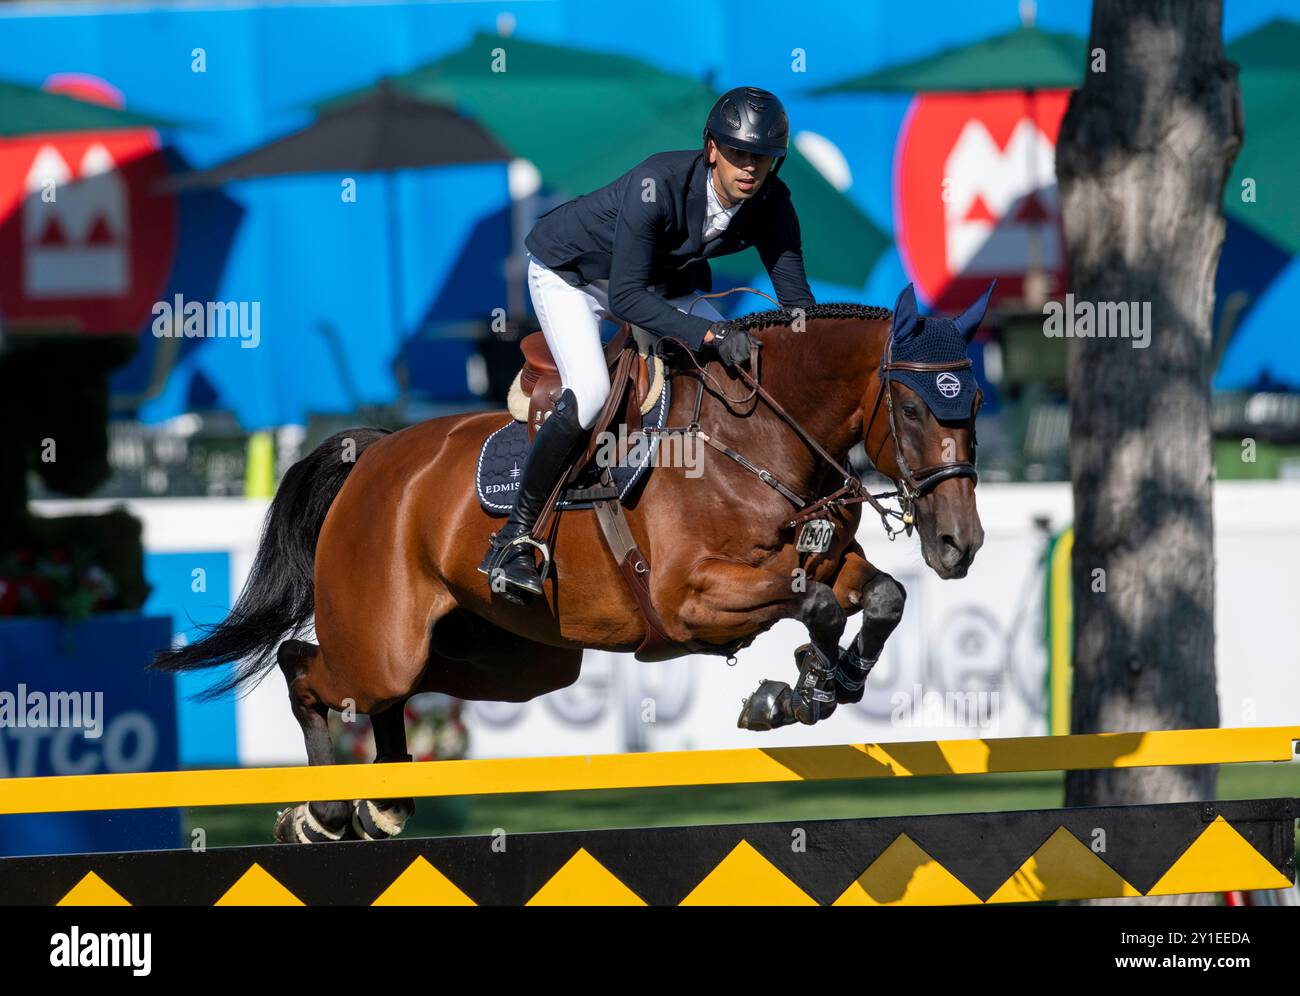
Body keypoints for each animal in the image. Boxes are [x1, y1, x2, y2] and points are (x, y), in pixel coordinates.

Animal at [149, 283, 982, 852]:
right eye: (913, 409)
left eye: (972, 405)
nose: (959, 545)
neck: (759, 440)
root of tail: (374, 453)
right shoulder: (692, 599)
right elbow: (818, 608)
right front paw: (796, 689)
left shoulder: (826, 561)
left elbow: (880, 598)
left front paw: (820, 685)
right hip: (383, 639)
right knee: (308, 667)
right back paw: (322, 815)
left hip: (510, 659)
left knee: (392, 687)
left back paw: (385, 802)